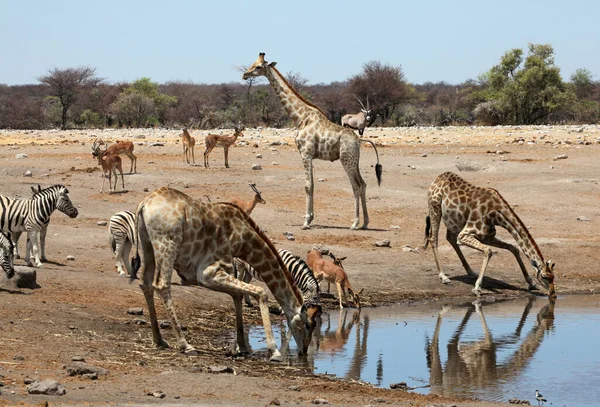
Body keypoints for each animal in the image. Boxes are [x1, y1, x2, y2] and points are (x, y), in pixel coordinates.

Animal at [129, 186, 322, 362]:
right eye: (307, 325)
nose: (303, 352)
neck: (243, 239)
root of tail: (144, 204)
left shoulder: (224, 270)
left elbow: (238, 295)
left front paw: (242, 347)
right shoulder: (208, 273)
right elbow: (261, 292)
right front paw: (274, 351)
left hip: (148, 245)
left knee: (145, 284)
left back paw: (159, 340)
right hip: (167, 244)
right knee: (161, 285)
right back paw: (185, 345)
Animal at [241, 51, 382, 230]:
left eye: (258, 67)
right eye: (252, 64)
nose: (245, 75)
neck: (301, 118)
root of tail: (358, 140)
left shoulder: (305, 153)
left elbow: (308, 186)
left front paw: (306, 221)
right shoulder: (309, 156)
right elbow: (313, 185)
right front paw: (311, 218)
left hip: (346, 159)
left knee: (356, 186)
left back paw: (355, 223)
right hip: (354, 160)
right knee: (363, 184)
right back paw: (365, 223)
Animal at [422, 171, 556, 298]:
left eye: (553, 276)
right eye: (544, 276)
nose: (553, 293)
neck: (497, 214)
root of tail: (438, 179)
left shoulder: (487, 236)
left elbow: (514, 248)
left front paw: (531, 283)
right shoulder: (465, 234)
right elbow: (488, 251)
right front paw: (477, 288)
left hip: (454, 221)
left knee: (450, 238)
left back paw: (471, 271)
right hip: (435, 208)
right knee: (433, 239)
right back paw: (444, 277)